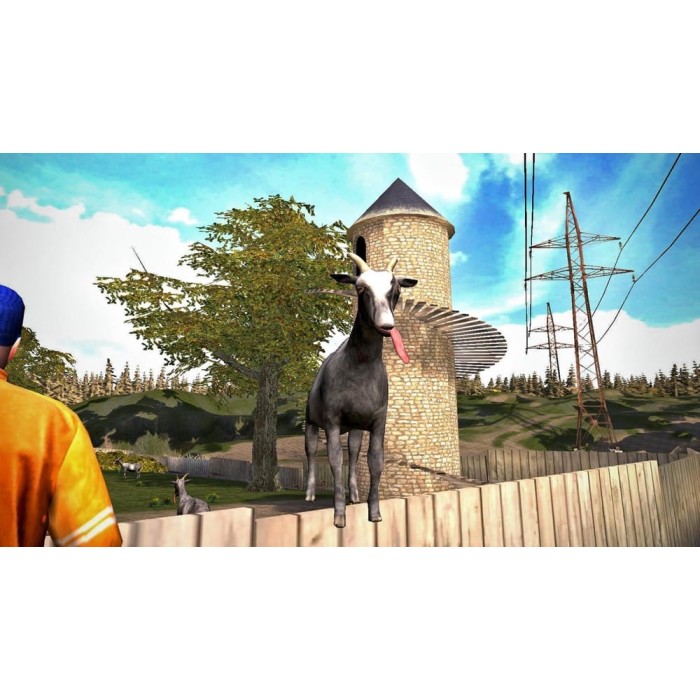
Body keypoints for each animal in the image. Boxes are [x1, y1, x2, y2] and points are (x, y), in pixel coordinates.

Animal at [305, 252, 417, 527]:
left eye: (396, 290)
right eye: (360, 288)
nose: (387, 325)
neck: (359, 366)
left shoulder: (378, 422)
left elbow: (375, 461)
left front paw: (374, 513)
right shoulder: (332, 421)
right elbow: (335, 460)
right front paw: (339, 516)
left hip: (355, 427)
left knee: (354, 453)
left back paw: (354, 494)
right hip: (311, 420)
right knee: (311, 452)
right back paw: (310, 494)